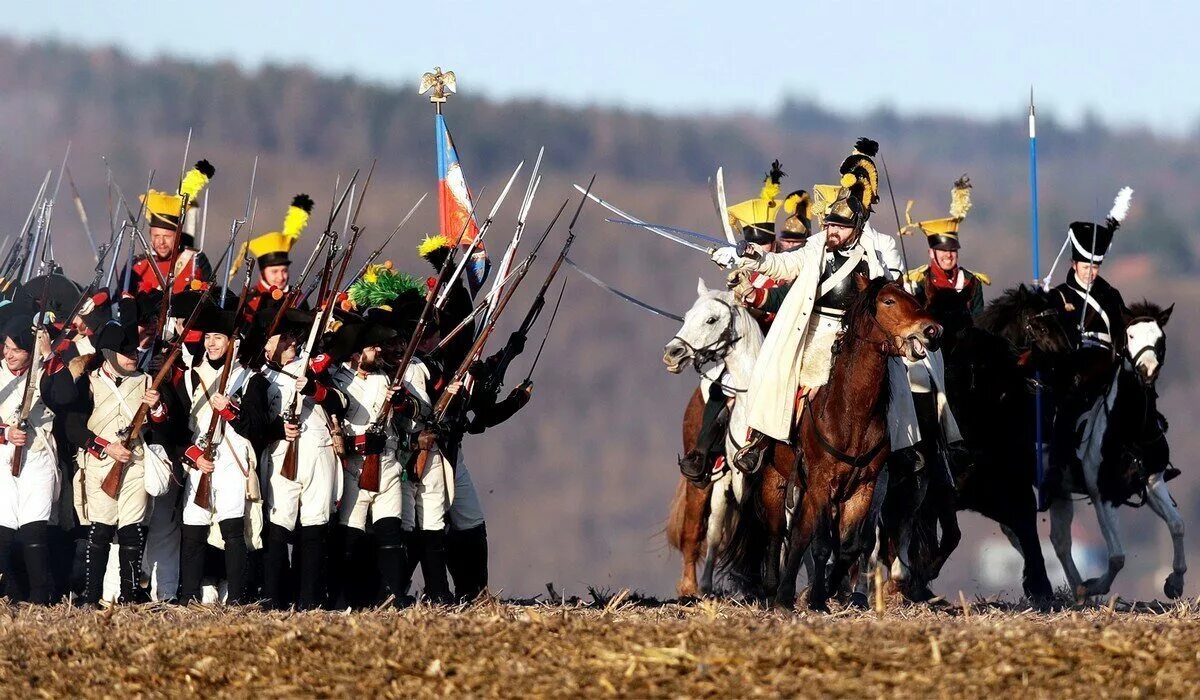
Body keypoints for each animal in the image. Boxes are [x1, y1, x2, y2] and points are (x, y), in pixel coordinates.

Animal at [662, 278, 763, 597]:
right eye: (686, 316)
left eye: (711, 319)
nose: (672, 353)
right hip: (707, 479)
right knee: (702, 529)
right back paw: (693, 587)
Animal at [1046, 298, 1185, 600]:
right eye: (1130, 336)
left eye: (1160, 338)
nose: (1147, 370)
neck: (1130, 429)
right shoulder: (1104, 495)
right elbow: (1117, 557)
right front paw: (1095, 585)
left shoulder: (1153, 482)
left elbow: (1177, 525)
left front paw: (1175, 582)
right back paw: (1079, 590)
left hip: (1060, 492)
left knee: (1059, 541)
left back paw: (1078, 591)